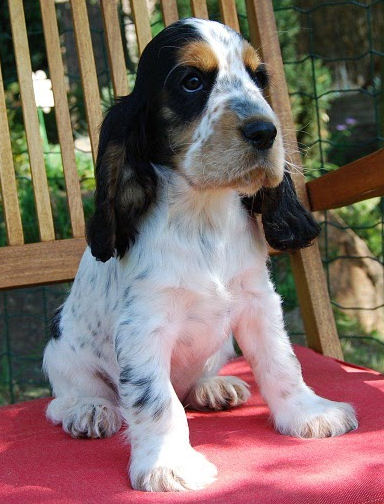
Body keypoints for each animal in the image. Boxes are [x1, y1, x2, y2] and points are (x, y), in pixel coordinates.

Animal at [43, 18, 358, 492]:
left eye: (259, 78)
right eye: (191, 81)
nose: (265, 131)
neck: (203, 215)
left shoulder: (258, 301)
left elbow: (282, 363)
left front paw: (309, 413)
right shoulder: (143, 325)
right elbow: (155, 401)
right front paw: (168, 464)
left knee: (193, 384)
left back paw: (213, 387)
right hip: (62, 351)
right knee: (66, 398)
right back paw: (88, 410)